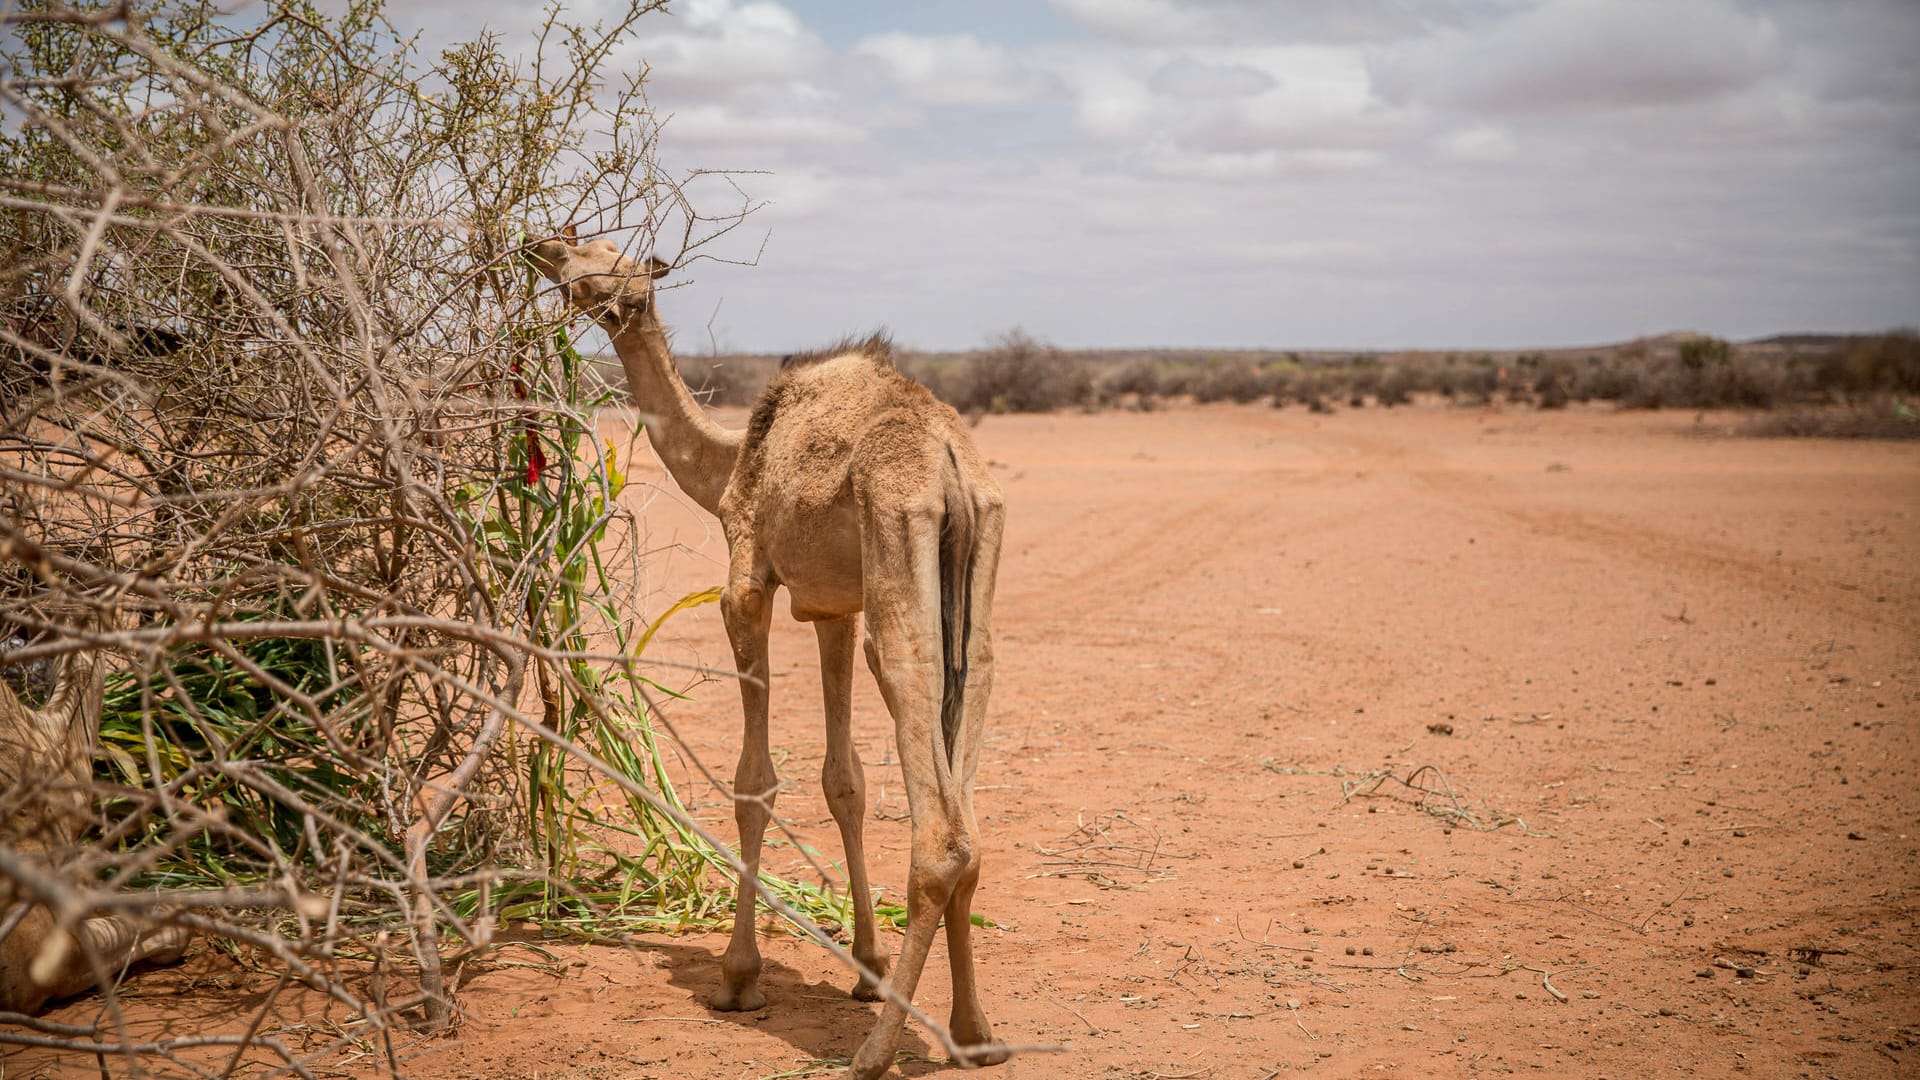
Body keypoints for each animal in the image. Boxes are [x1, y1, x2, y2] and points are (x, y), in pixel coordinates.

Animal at [526, 231, 1006, 1068]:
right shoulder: (833, 608)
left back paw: (876, 1053)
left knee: (942, 830)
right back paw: (973, 1035)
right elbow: (844, 782)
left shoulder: (746, 581)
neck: (726, 463)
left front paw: (738, 977)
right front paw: (867, 967)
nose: (540, 244)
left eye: (598, 252)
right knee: (967, 791)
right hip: (973, 588)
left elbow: (754, 783)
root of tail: (949, 466)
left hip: (900, 567)